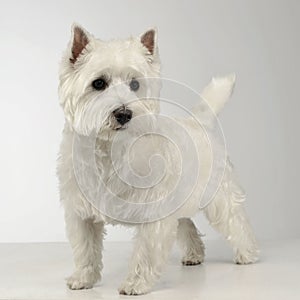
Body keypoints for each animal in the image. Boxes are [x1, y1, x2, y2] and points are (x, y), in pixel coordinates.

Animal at [57, 24, 258, 296]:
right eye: (98, 83)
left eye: (134, 84)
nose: (124, 113)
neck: (111, 148)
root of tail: (198, 122)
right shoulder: (81, 213)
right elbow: (85, 248)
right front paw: (82, 279)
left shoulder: (153, 212)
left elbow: (146, 251)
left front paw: (135, 284)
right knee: (186, 223)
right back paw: (194, 254)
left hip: (219, 196)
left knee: (236, 221)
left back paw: (248, 254)